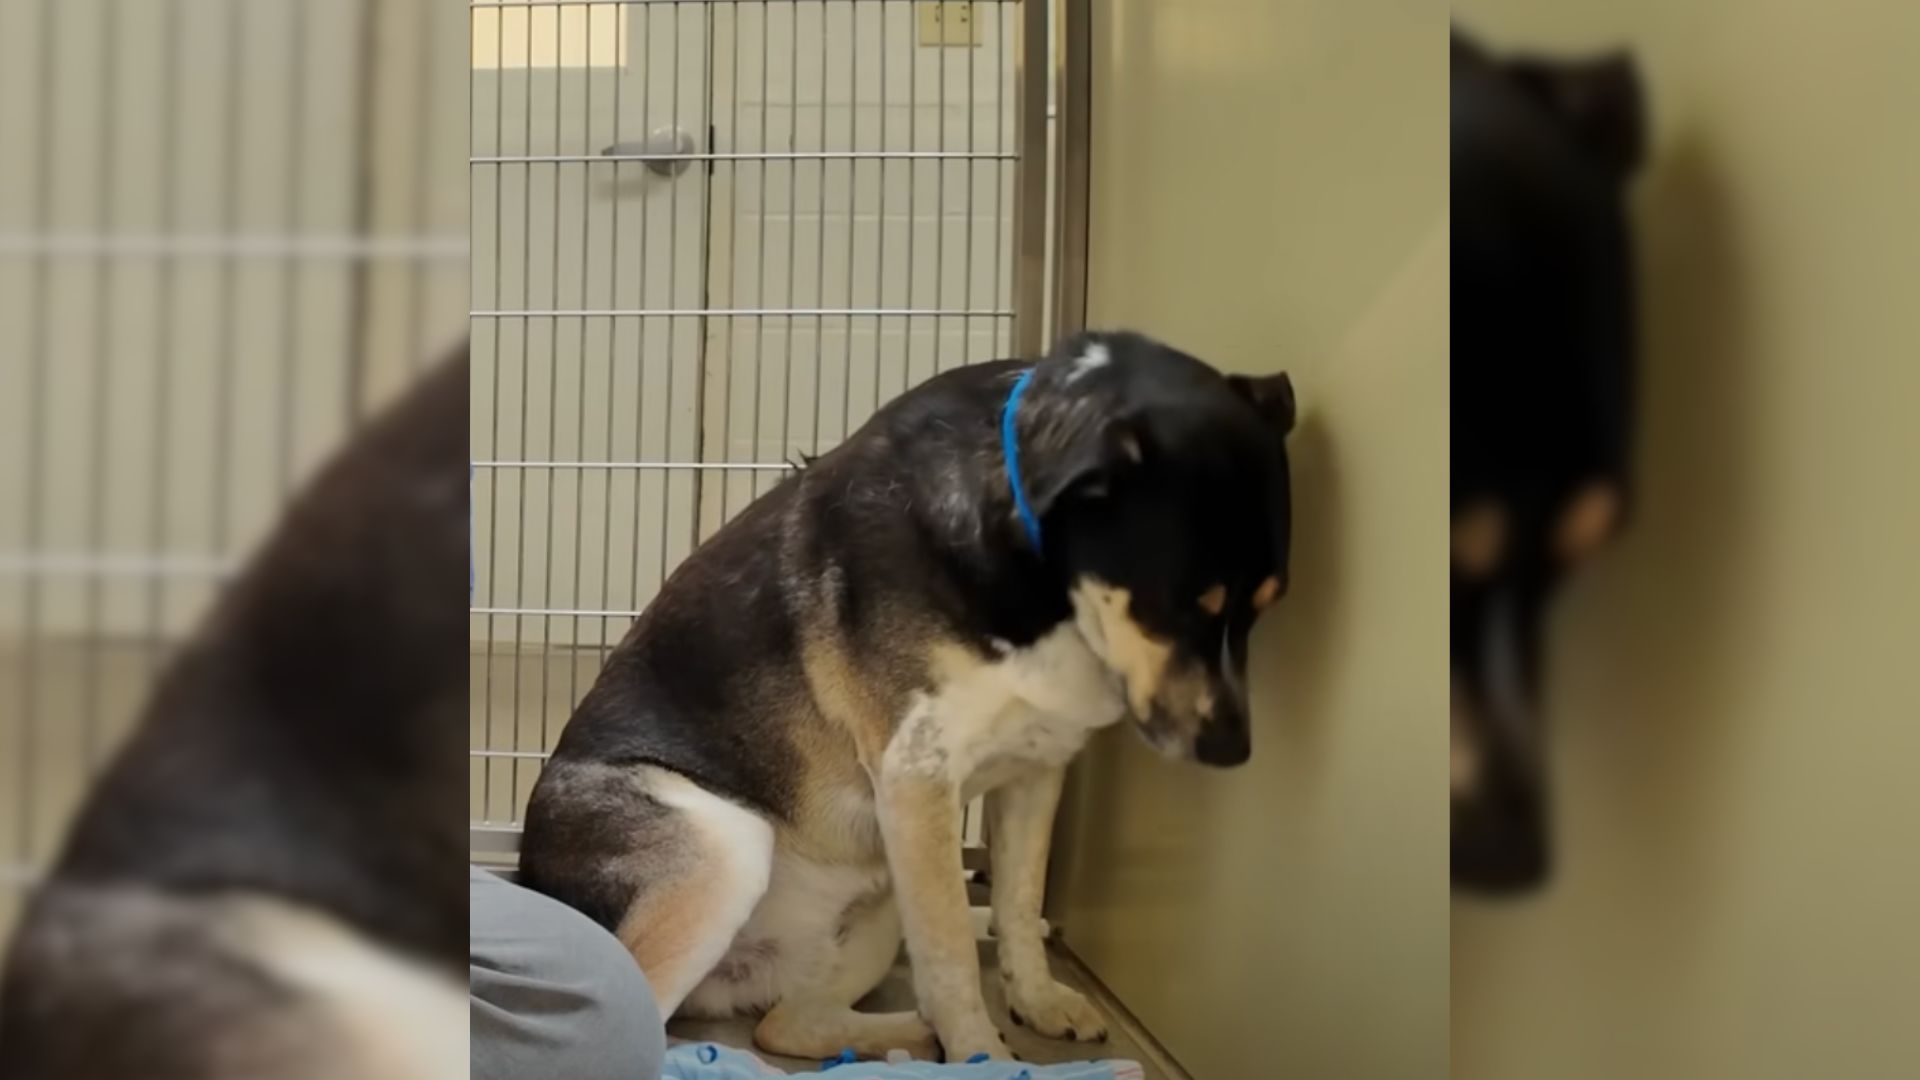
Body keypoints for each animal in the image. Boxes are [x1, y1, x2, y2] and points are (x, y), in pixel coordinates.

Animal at [518, 330, 1297, 1060]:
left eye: (1268, 604)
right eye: (1178, 605)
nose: (1235, 750)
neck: (1036, 576)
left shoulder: (1036, 770)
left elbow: (1018, 904)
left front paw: (1037, 1002)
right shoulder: (916, 778)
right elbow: (952, 954)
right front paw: (983, 1056)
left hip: (876, 900)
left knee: (786, 1024)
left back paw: (909, 1034)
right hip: (727, 846)